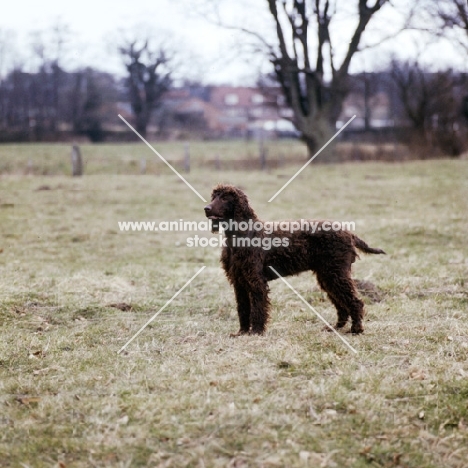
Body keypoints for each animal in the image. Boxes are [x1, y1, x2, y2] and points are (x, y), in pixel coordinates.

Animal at [204, 184, 384, 336]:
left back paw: (356, 329)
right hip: (328, 276)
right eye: (214, 196)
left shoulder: (256, 281)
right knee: (341, 303)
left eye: (225, 198)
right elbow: (243, 309)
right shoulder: (239, 281)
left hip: (335, 274)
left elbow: (257, 308)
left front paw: (256, 332)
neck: (241, 236)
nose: (206, 208)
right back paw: (336, 327)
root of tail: (349, 233)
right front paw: (241, 332)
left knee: (354, 301)